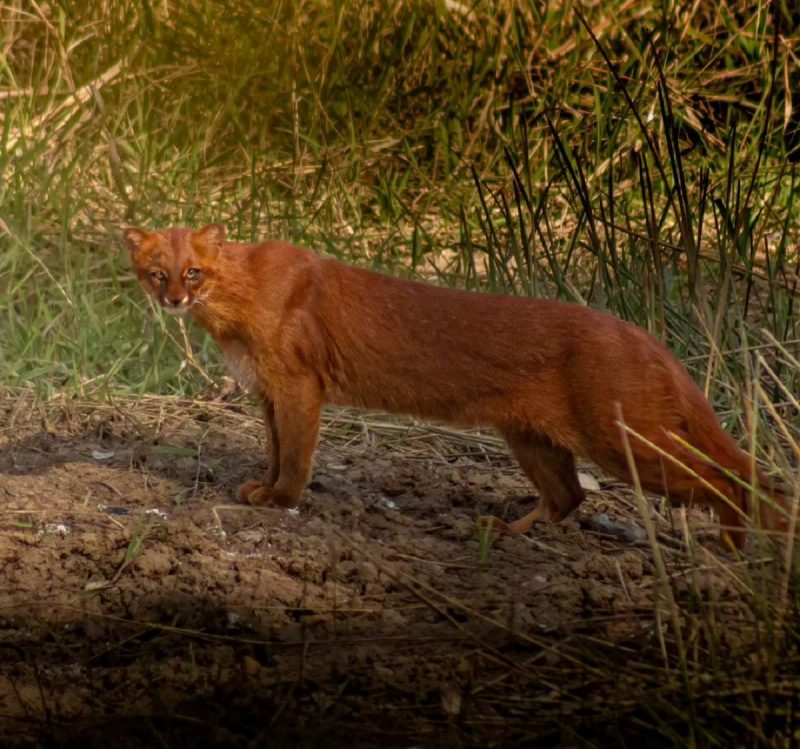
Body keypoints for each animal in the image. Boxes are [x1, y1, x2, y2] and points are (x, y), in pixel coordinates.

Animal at [125, 224, 788, 548]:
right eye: (157, 272)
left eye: (194, 271)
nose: (174, 298)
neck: (233, 316)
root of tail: (645, 337)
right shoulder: (265, 388)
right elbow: (271, 450)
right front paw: (256, 488)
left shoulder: (298, 383)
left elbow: (296, 457)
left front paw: (278, 501)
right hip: (530, 436)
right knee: (570, 496)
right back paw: (502, 532)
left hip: (624, 438)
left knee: (738, 476)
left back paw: (733, 550)